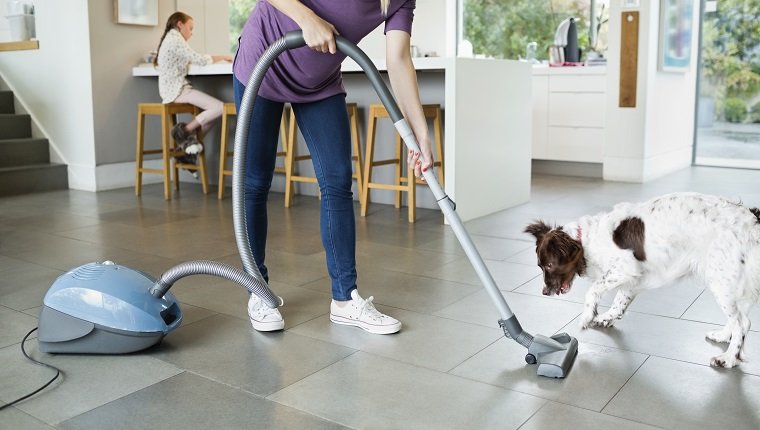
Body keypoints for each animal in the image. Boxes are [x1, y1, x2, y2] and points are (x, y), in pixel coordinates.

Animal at [524, 193, 756, 368]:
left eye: (549, 265)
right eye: (540, 266)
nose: (544, 292)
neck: (587, 240)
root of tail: (753, 223)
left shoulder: (624, 268)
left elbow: (593, 290)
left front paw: (587, 316)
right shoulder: (633, 277)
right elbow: (619, 302)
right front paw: (605, 318)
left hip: (721, 281)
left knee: (741, 323)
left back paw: (728, 358)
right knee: (740, 320)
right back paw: (722, 337)